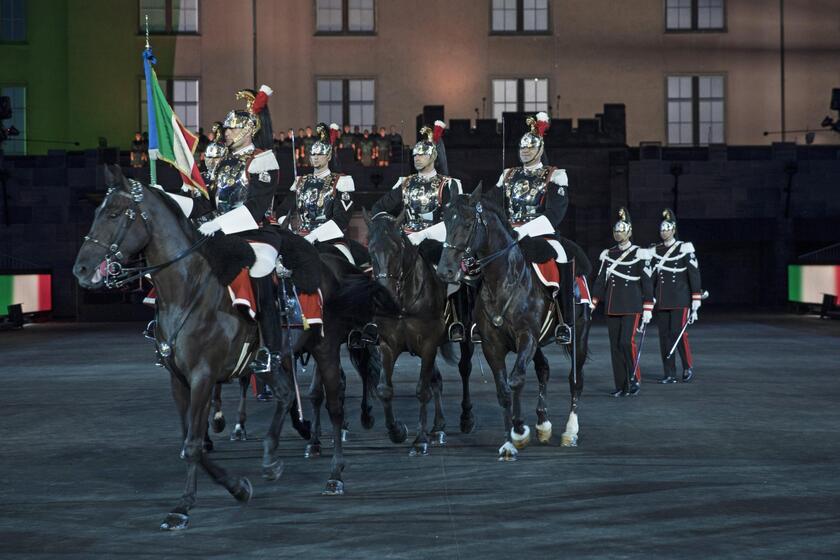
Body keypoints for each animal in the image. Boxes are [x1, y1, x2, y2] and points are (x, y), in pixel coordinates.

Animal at [73, 166, 380, 528]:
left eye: (116, 213)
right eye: (97, 211)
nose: (81, 269)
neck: (187, 290)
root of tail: (332, 264)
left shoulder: (203, 376)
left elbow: (193, 444)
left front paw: (182, 508)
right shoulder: (179, 380)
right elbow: (189, 440)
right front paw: (237, 487)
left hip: (326, 349)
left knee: (333, 405)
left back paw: (334, 473)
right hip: (275, 359)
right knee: (286, 394)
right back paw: (272, 458)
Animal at [364, 210, 476, 456]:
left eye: (397, 249)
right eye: (370, 249)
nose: (384, 294)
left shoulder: (428, 345)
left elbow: (422, 390)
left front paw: (420, 439)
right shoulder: (388, 345)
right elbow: (384, 389)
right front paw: (397, 431)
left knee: (464, 369)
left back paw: (465, 417)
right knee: (437, 380)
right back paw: (438, 426)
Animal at [440, 186, 592, 462]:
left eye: (467, 224)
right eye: (445, 221)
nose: (445, 270)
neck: (503, 280)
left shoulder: (526, 337)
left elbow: (516, 380)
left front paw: (519, 430)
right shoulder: (492, 345)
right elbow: (504, 388)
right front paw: (510, 441)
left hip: (579, 336)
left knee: (575, 379)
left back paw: (569, 431)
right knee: (543, 369)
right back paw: (543, 423)